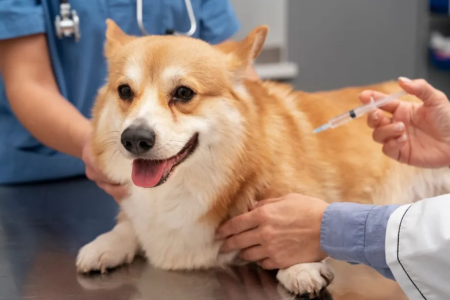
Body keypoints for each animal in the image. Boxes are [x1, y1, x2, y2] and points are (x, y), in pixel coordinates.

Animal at [76, 19, 450, 296]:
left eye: (183, 93)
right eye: (125, 91)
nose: (134, 139)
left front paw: (300, 268)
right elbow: (128, 225)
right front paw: (104, 245)